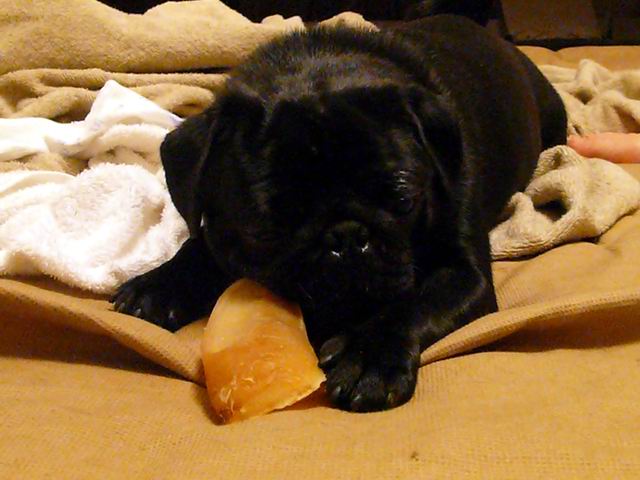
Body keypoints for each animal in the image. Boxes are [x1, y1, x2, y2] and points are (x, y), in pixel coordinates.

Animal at [112, 16, 567, 412]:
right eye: (266, 225)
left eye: (404, 200)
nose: (347, 236)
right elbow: (198, 247)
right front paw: (160, 285)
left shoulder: (465, 275)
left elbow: (415, 303)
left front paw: (369, 358)